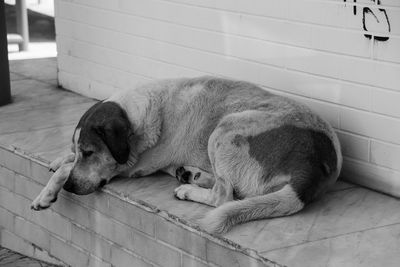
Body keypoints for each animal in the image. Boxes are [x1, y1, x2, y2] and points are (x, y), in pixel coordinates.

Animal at [32, 76, 344, 233]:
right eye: (80, 150)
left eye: (90, 152)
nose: (70, 188)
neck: (137, 114)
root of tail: (312, 166)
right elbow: (66, 162)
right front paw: (59, 162)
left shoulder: (131, 166)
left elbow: (72, 170)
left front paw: (47, 192)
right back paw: (192, 174)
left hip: (225, 129)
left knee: (224, 195)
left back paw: (189, 189)